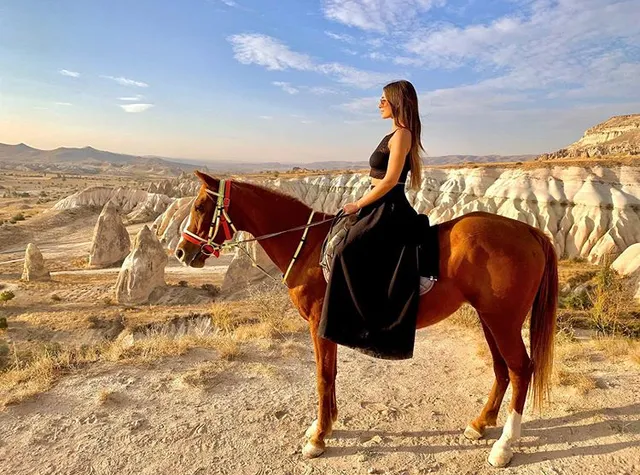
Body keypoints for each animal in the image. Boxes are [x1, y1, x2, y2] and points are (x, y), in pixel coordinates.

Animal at [175, 171, 558, 468]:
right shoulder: (326, 325)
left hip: (503, 320)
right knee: (501, 368)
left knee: (521, 369)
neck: (309, 246)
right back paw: (480, 424)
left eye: (199, 207)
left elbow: (323, 376)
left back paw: (504, 446)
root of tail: (530, 231)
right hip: (489, 318)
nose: (181, 251)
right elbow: (330, 374)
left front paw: (318, 438)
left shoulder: (319, 323)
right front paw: (325, 425)